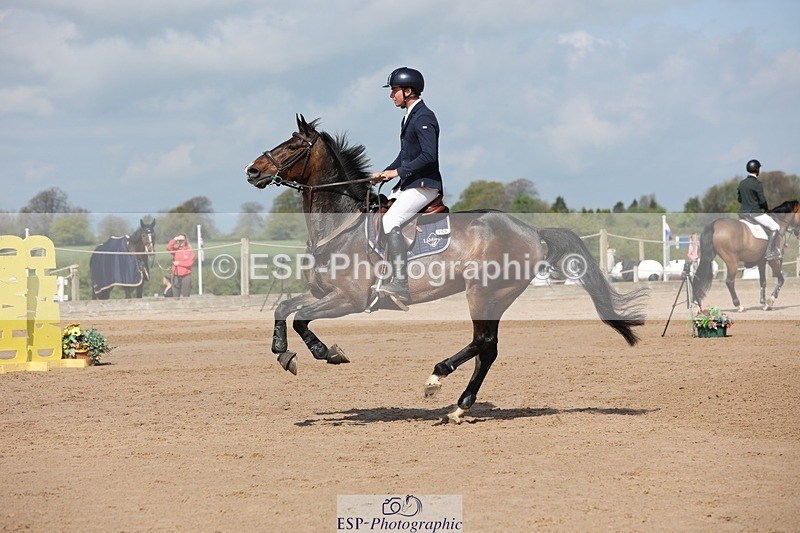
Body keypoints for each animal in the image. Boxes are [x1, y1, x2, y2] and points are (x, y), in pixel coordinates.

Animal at [244, 115, 646, 423]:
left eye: (292, 146)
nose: (252, 170)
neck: (341, 226)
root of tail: (532, 230)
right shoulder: (322, 293)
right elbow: (284, 307)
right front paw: (282, 351)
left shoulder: (349, 299)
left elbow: (301, 319)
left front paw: (325, 353)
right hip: (493, 297)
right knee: (488, 349)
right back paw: (459, 406)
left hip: (483, 292)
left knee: (483, 343)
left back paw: (437, 379)